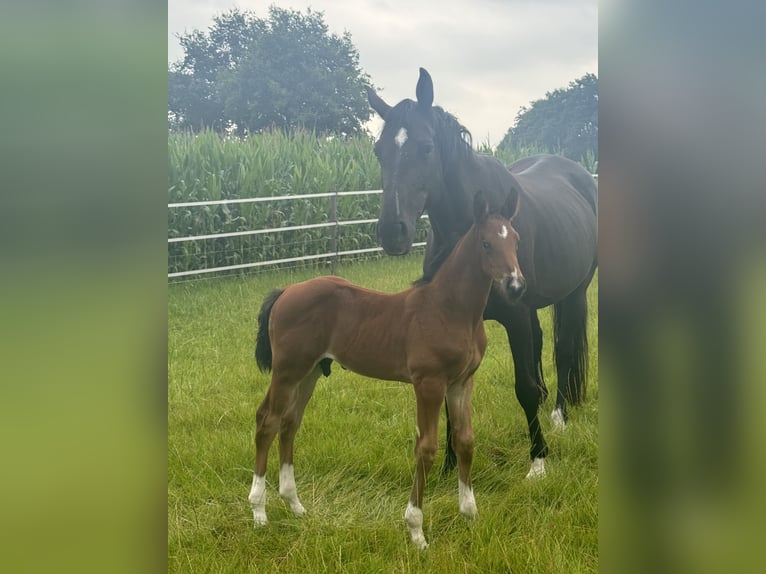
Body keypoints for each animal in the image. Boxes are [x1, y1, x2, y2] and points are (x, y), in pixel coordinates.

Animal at [252, 191, 528, 552]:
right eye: (485, 243)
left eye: (516, 240)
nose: (516, 286)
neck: (450, 310)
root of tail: (286, 291)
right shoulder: (428, 383)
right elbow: (426, 449)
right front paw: (416, 531)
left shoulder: (461, 382)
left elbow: (465, 441)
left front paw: (470, 516)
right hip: (287, 371)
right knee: (267, 422)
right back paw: (259, 512)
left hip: (309, 372)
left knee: (289, 423)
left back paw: (294, 505)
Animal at [368, 68, 600, 482]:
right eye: (380, 150)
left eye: (426, 147)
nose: (393, 231)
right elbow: (449, 394)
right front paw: (447, 466)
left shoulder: (515, 316)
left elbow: (524, 387)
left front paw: (538, 462)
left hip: (574, 293)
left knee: (563, 350)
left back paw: (558, 416)